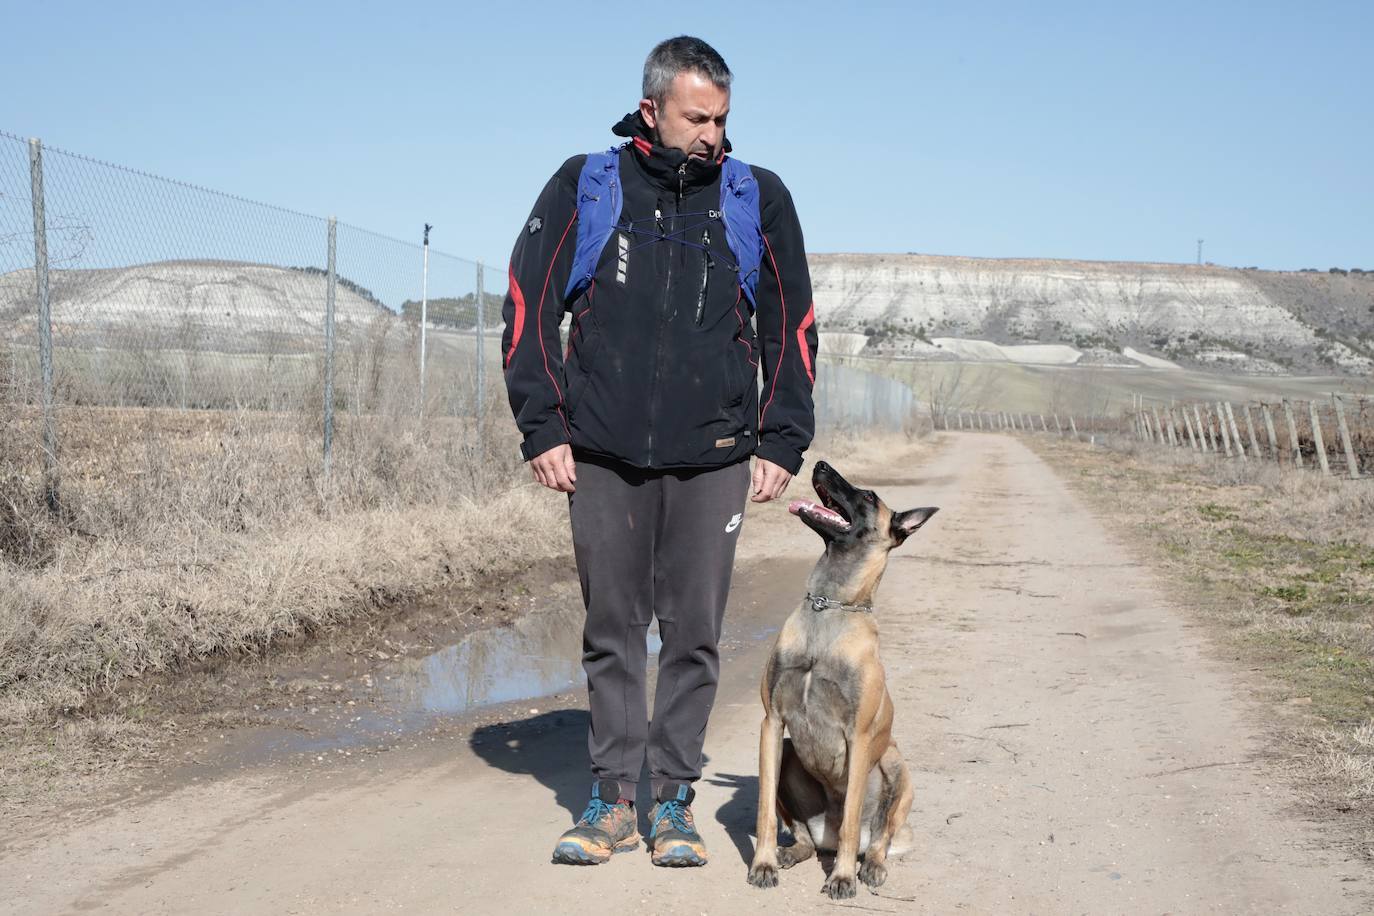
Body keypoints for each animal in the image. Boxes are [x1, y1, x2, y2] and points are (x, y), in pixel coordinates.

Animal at [747, 461, 939, 900]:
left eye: (868, 497)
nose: (819, 463)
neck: (830, 606)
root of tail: (827, 839)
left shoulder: (860, 737)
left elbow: (853, 819)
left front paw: (843, 877)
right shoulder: (772, 724)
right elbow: (765, 813)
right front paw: (763, 863)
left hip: (896, 766)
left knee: (879, 836)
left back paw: (870, 866)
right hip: (788, 754)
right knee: (803, 837)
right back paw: (790, 853)